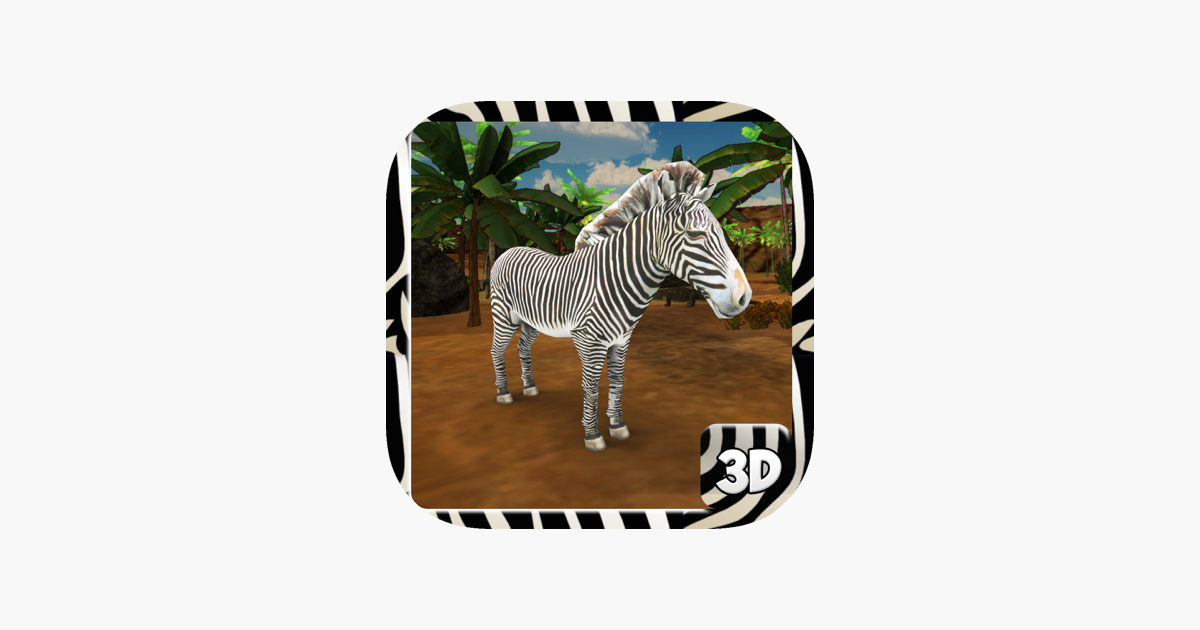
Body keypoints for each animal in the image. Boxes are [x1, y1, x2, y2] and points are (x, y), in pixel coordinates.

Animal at [487, 162, 752, 451]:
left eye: (722, 234)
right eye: (694, 234)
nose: (744, 297)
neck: (614, 278)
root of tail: (508, 250)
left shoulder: (621, 340)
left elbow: (617, 381)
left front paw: (617, 426)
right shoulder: (587, 340)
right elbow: (591, 385)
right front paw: (593, 436)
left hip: (531, 320)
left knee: (523, 347)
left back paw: (530, 387)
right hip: (504, 315)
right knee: (497, 350)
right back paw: (503, 393)